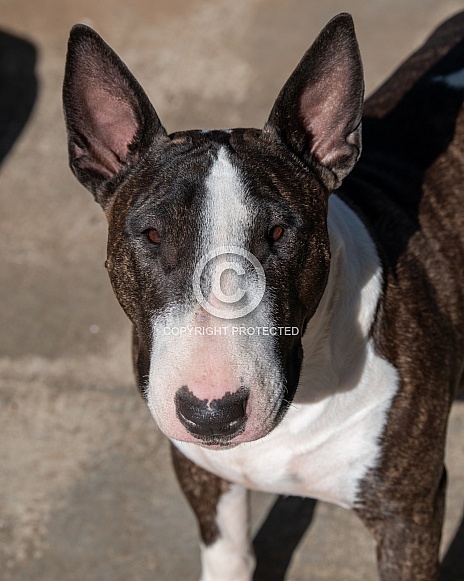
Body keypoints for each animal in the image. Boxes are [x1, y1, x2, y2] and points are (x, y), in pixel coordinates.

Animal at [64, 13, 464, 580]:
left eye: (276, 233)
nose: (213, 414)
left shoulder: (409, 513)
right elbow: (230, 555)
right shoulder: (201, 472)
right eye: (153, 235)